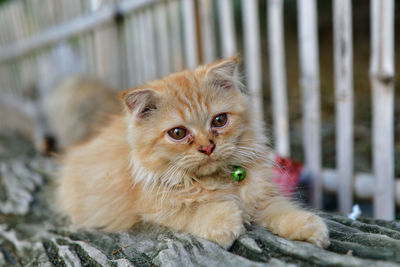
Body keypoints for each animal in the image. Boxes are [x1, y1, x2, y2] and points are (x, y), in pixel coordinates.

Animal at [57, 57, 332, 250]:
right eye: (178, 133)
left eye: (219, 120)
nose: (207, 147)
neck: (218, 180)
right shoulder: (152, 210)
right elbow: (194, 210)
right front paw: (225, 221)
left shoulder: (262, 197)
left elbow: (281, 209)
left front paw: (309, 228)